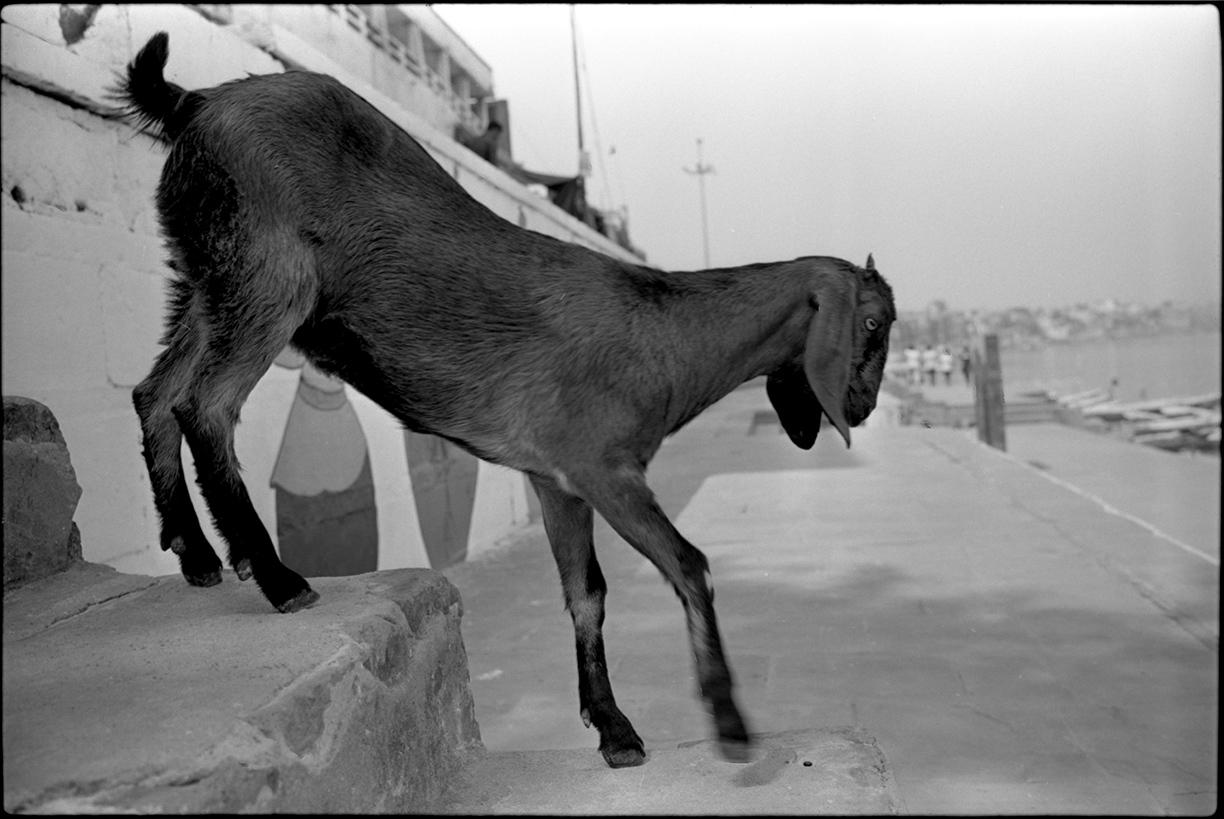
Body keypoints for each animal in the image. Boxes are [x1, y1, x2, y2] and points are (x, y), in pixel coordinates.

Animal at [114, 32, 895, 768]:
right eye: (873, 324)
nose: (860, 409)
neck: (668, 333)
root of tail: (194, 100)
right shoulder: (602, 466)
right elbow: (688, 563)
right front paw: (729, 723)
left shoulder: (556, 482)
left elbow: (587, 593)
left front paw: (613, 728)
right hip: (268, 272)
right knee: (206, 404)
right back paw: (275, 575)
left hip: (206, 278)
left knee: (155, 391)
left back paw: (197, 553)